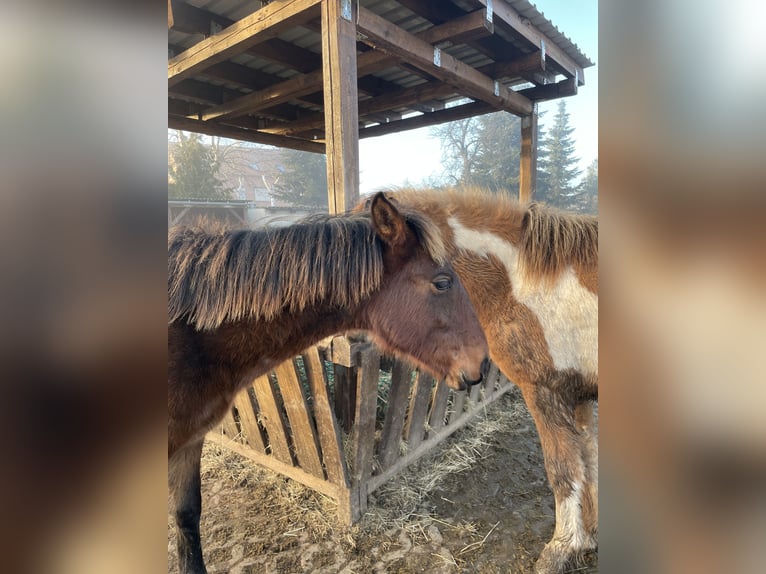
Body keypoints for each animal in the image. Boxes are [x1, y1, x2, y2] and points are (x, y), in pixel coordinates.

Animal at [360, 189, 600, 574]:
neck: (517, 284)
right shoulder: (577, 395)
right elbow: (588, 462)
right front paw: (589, 537)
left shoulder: (546, 391)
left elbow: (563, 470)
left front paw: (561, 549)